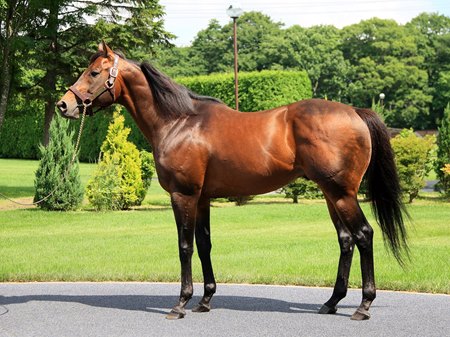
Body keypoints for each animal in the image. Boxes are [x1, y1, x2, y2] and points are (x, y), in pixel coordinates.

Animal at [56, 42, 408, 320]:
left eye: (94, 73)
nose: (64, 104)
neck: (179, 122)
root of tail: (355, 112)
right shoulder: (202, 198)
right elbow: (204, 244)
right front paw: (205, 299)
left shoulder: (183, 195)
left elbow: (184, 246)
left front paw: (181, 303)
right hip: (330, 194)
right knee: (346, 240)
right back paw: (332, 302)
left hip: (342, 194)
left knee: (363, 235)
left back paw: (363, 306)